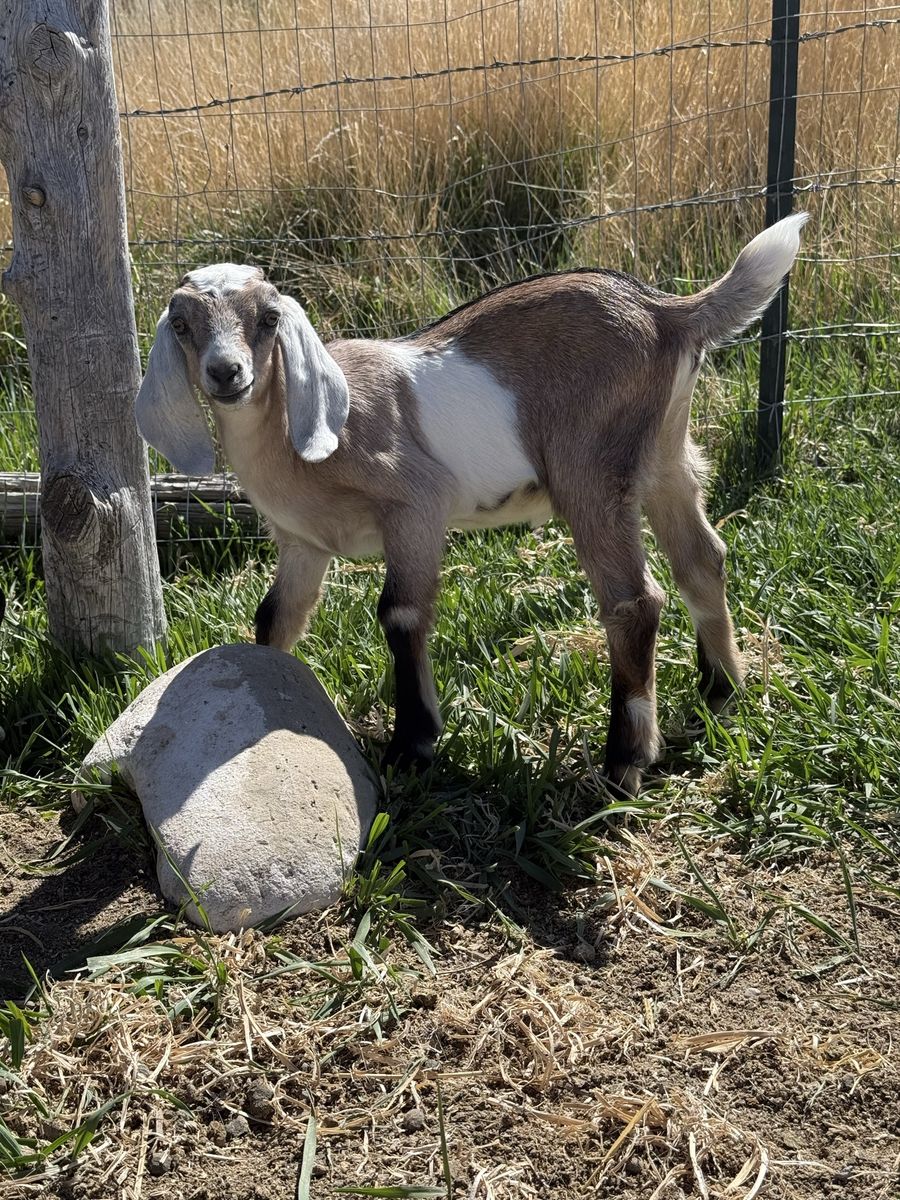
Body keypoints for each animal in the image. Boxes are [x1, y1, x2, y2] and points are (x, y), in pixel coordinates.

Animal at [135, 213, 807, 794]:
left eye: (270, 316)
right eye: (182, 324)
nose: (227, 372)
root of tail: (666, 312)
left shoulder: (416, 504)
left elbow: (400, 614)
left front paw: (412, 745)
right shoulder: (302, 543)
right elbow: (276, 616)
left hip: (590, 468)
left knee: (634, 601)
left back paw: (624, 763)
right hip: (665, 455)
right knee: (702, 559)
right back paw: (721, 693)